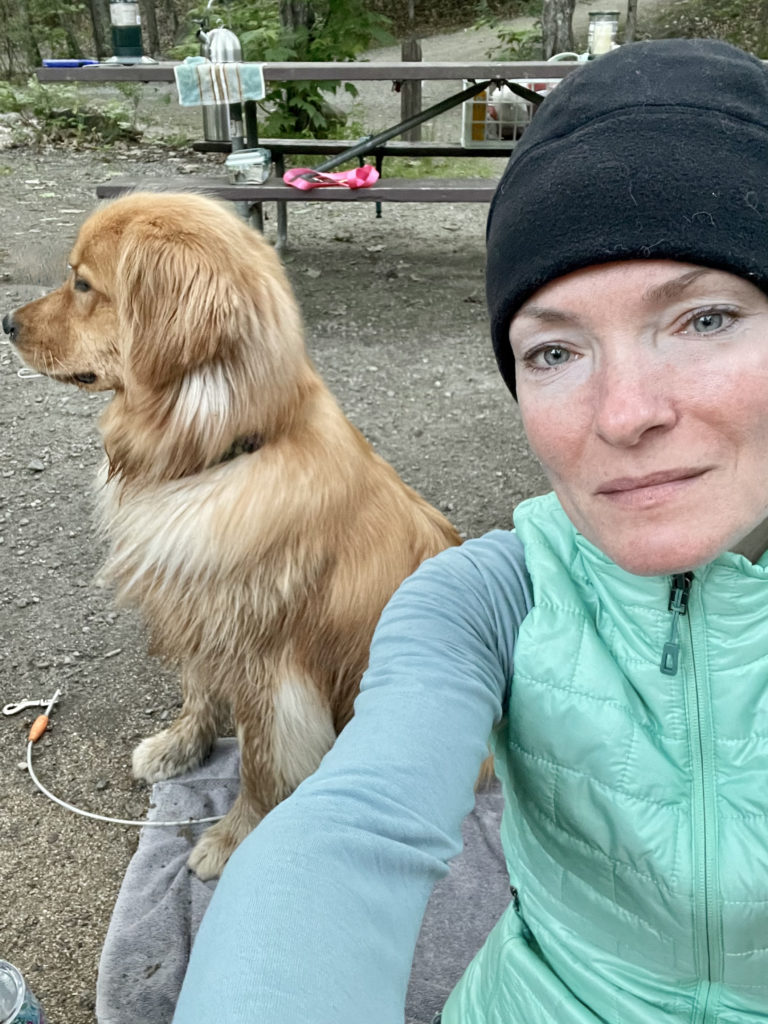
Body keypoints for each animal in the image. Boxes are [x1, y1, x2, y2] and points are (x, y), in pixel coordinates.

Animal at [4, 193, 462, 880]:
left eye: (83, 284)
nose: (5, 321)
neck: (221, 448)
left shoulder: (272, 667)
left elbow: (262, 763)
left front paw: (233, 840)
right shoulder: (203, 610)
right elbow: (197, 694)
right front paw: (178, 748)